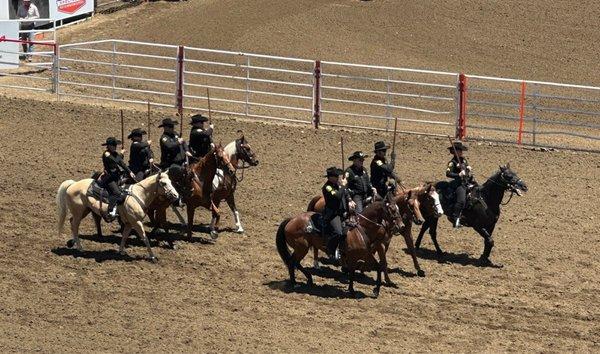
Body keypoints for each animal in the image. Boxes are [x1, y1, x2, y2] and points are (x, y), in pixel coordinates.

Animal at [276, 192, 404, 298]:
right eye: (392, 209)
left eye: (399, 208)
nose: (401, 226)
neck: (361, 230)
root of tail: (291, 220)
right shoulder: (353, 258)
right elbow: (352, 273)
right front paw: (352, 291)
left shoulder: (366, 255)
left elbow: (378, 267)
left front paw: (376, 290)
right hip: (301, 248)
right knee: (292, 262)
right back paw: (295, 283)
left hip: (302, 248)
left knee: (295, 262)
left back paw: (308, 279)